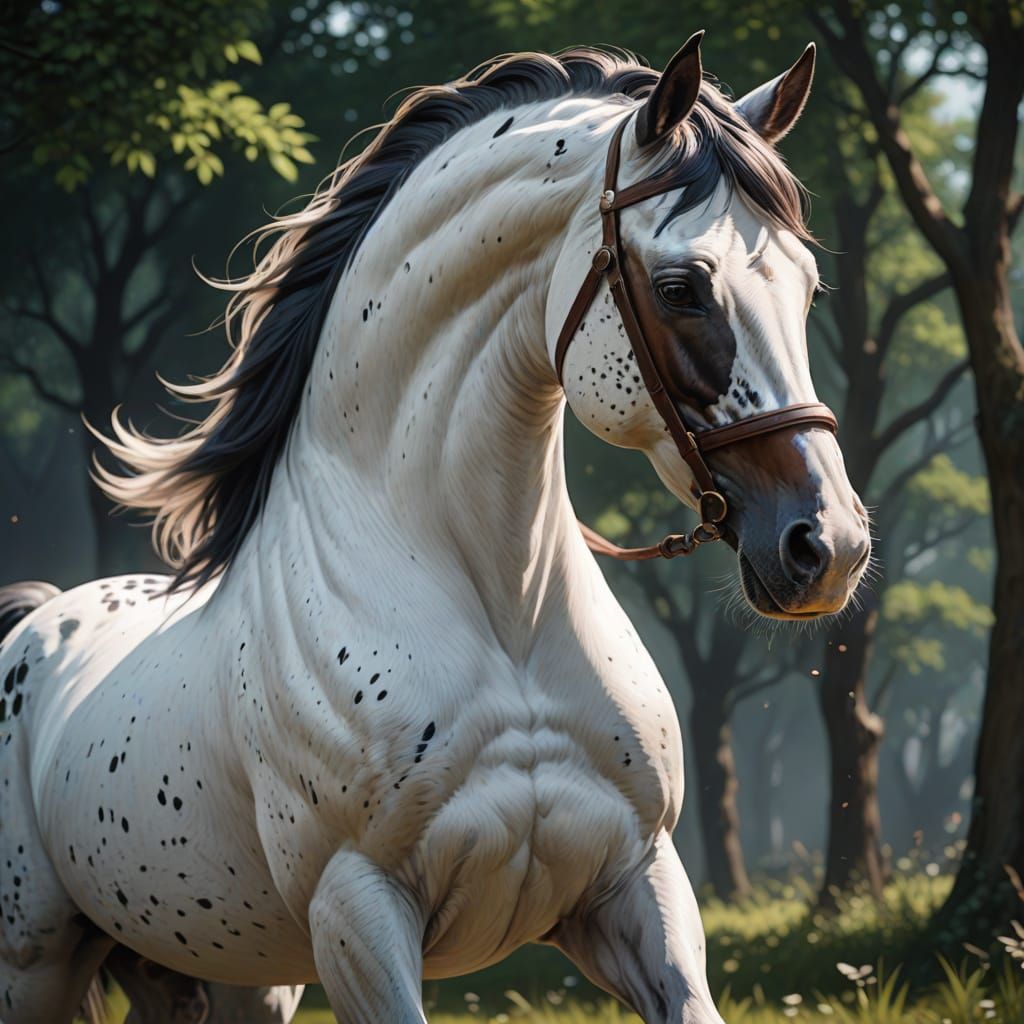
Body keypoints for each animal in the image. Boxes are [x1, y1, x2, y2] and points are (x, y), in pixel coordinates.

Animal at [0, 35, 870, 1023]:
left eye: (809, 289)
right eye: (682, 287)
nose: (828, 546)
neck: (498, 615)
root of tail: (37, 621)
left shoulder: (637, 885)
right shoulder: (357, 913)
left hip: (216, 973)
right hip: (40, 961)